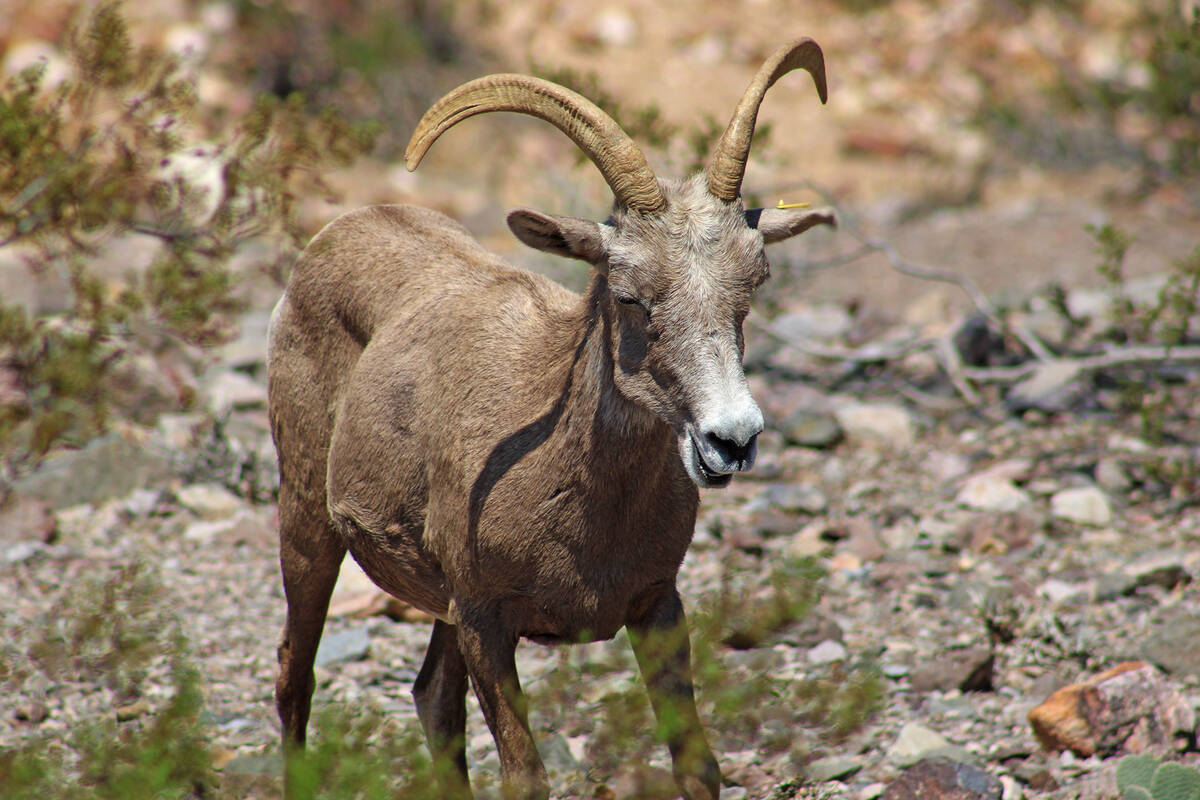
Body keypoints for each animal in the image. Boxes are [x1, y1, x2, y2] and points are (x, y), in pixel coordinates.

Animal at [267, 35, 835, 796]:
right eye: (630, 296)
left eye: (751, 290)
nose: (732, 439)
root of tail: (333, 236)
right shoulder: (487, 624)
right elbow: (525, 777)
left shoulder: (656, 607)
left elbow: (697, 766)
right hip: (308, 528)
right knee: (295, 680)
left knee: (432, 700)